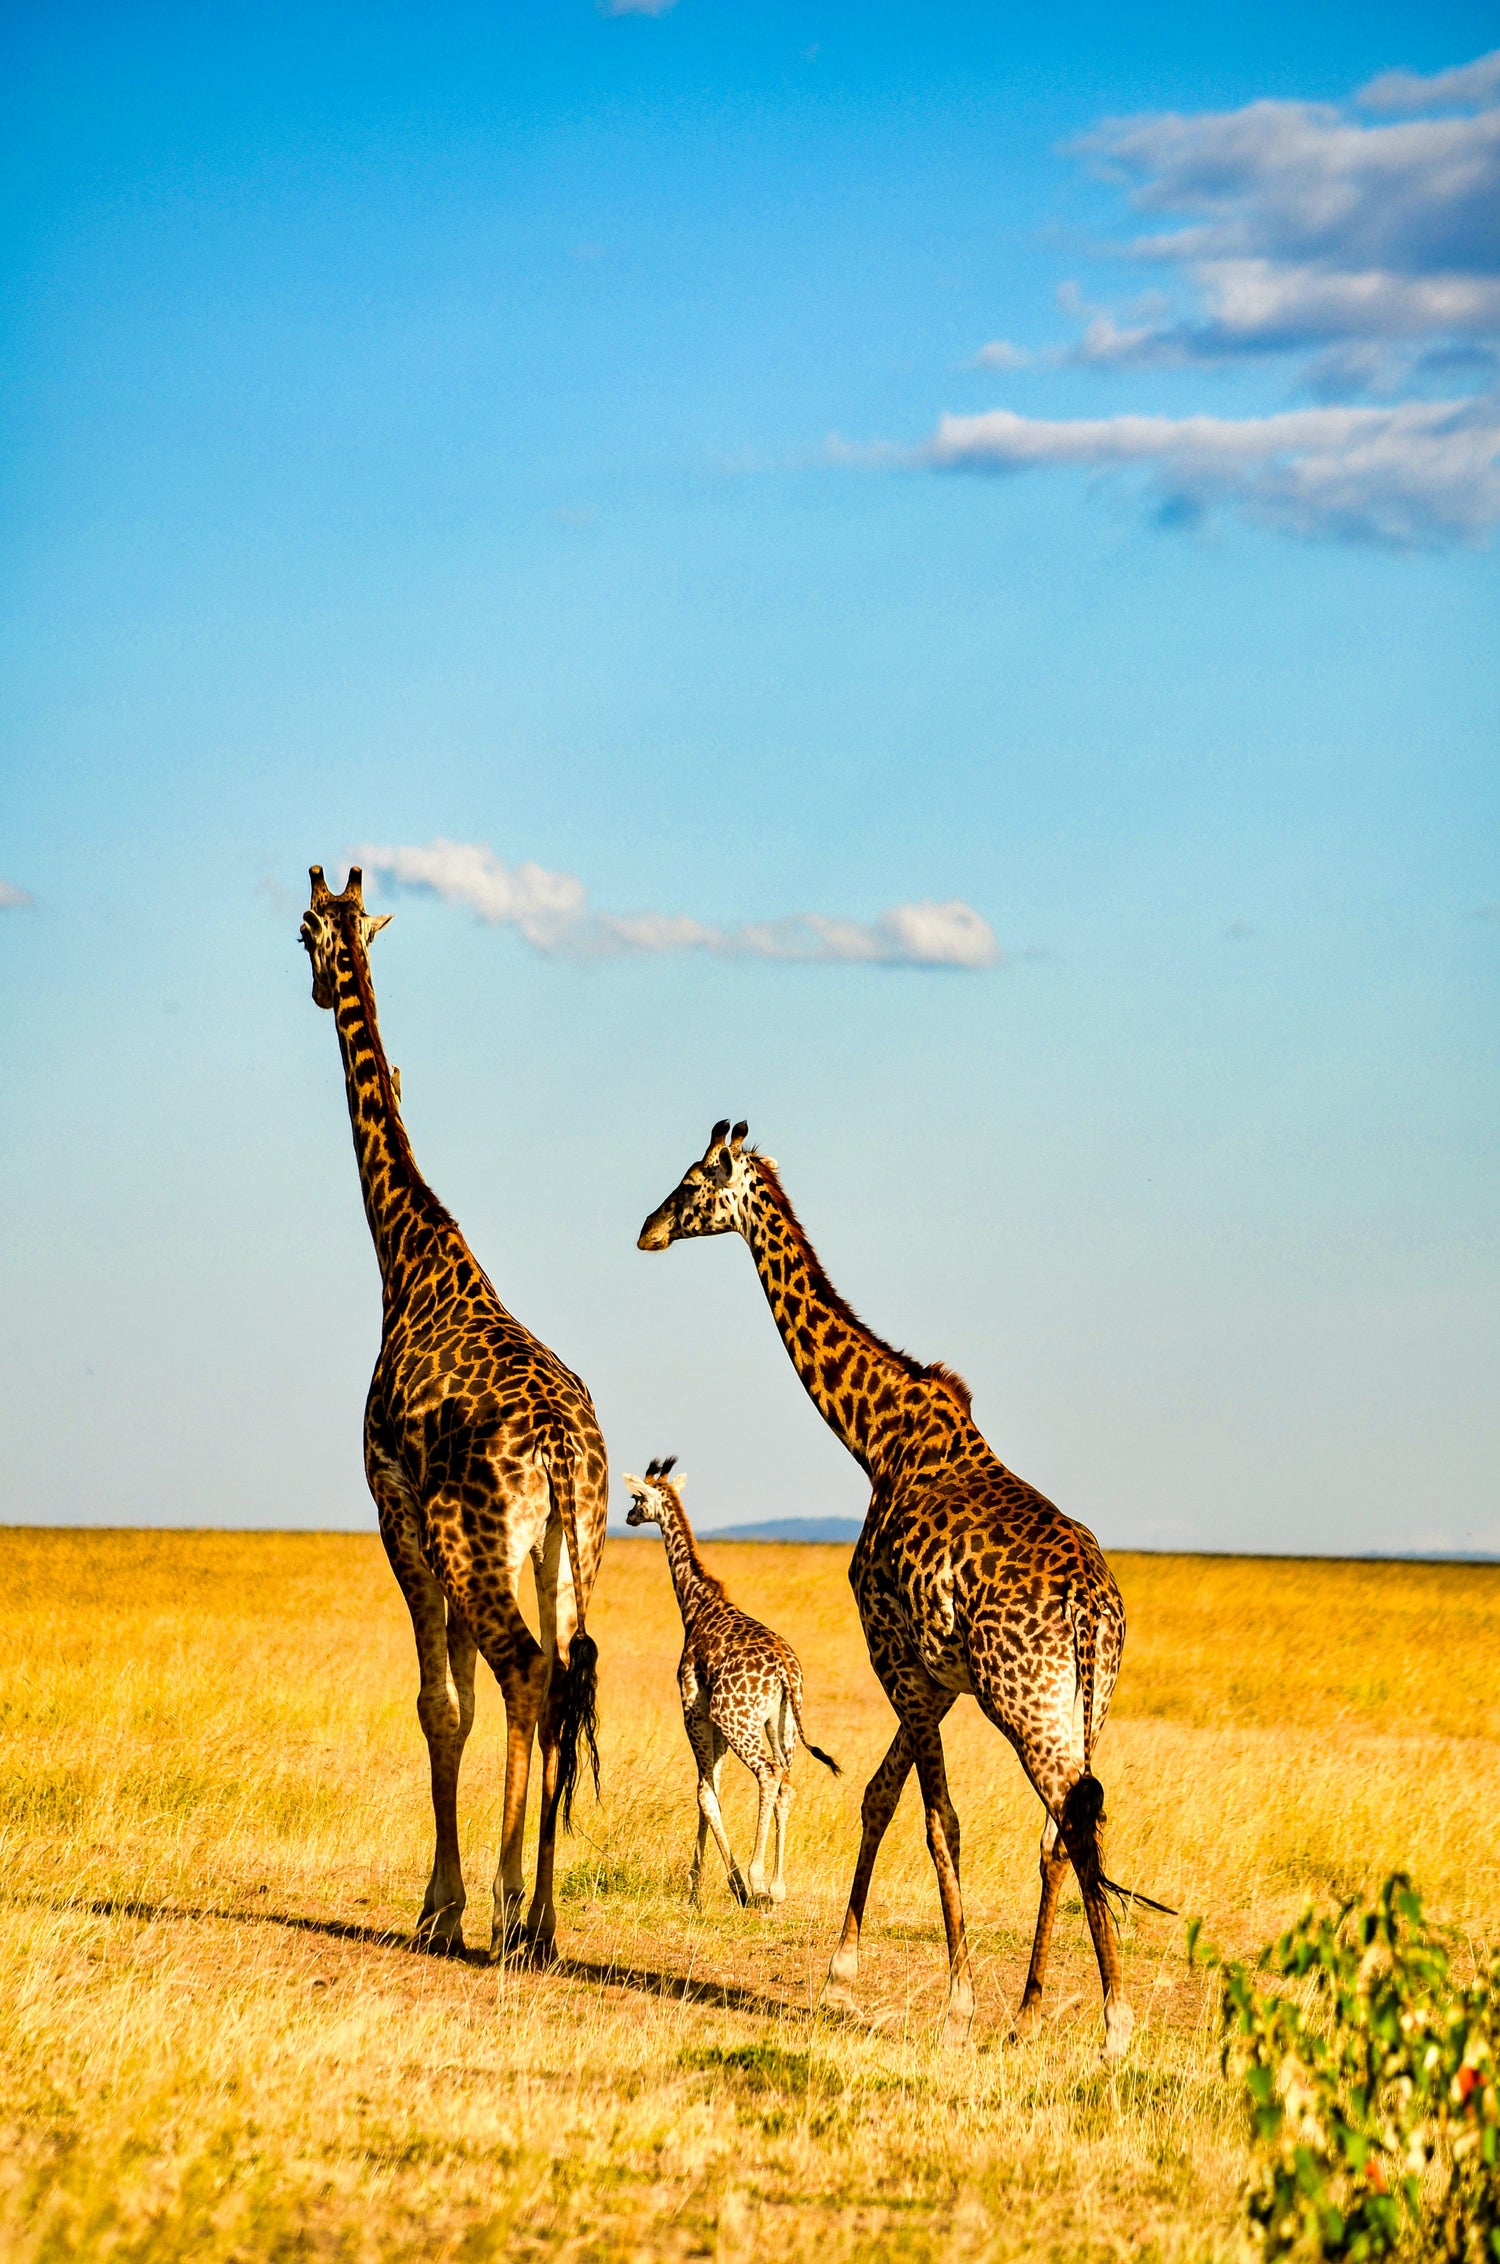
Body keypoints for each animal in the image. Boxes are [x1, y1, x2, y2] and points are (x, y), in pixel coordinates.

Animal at [296, 864, 606, 1965]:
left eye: (302, 932)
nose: (316, 985)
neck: (408, 1253)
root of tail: (560, 1452)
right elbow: (463, 1704)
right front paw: (459, 1899)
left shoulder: (396, 1508)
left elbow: (441, 1704)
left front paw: (442, 1905)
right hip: (568, 1550)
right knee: (564, 1678)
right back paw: (545, 1918)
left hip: (474, 1542)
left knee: (528, 1673)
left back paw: (514, 1911)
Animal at [624, 1458, 846, 1901]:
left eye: (637, 1497)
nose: (628, 1517)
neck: (697, 1605)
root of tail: (785, 1670)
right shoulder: (715, 1722)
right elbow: (713, 1788)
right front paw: (700, 1881)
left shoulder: (695, 1709)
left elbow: (704, 1793)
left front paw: (724, 1882)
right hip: (782, 1724)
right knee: (787, 1783)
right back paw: (777, 1887)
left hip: (739, 1721)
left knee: (768, 1773)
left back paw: (757, 1878)